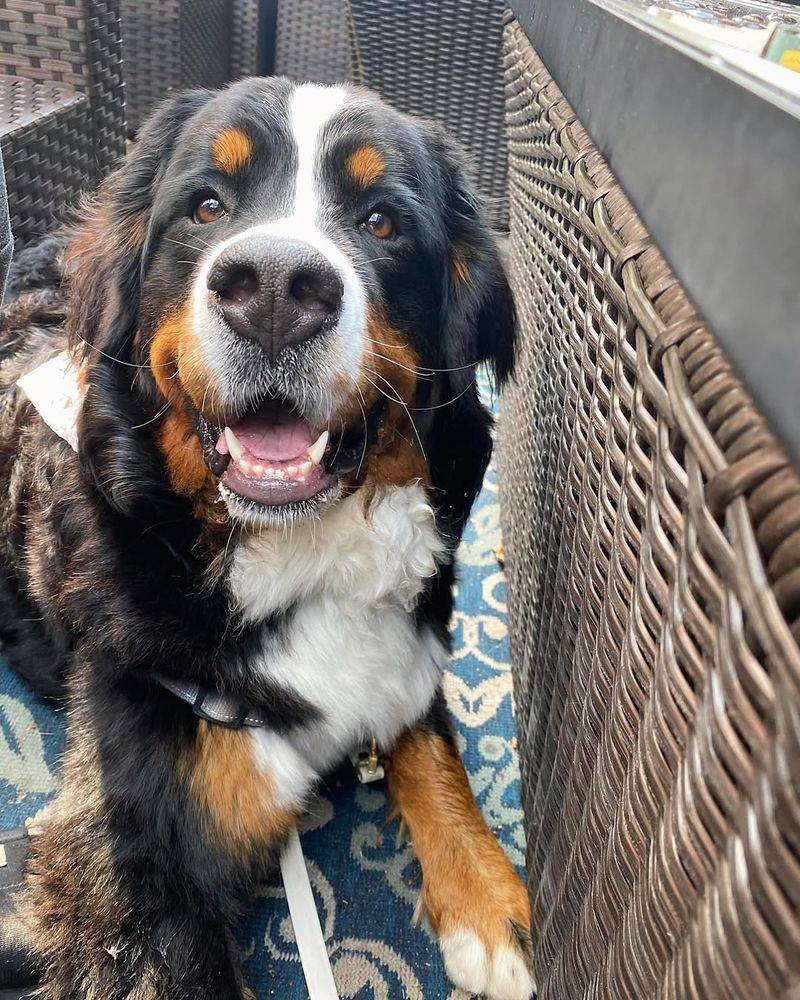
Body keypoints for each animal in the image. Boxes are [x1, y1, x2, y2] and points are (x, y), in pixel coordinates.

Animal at [0, 78, 532, 1000]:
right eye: (207, 206)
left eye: (382, 221)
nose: (277, 286)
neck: (302, 563)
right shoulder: (135, 885)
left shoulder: (411, 644)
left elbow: (432, 743)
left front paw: (488, 899)